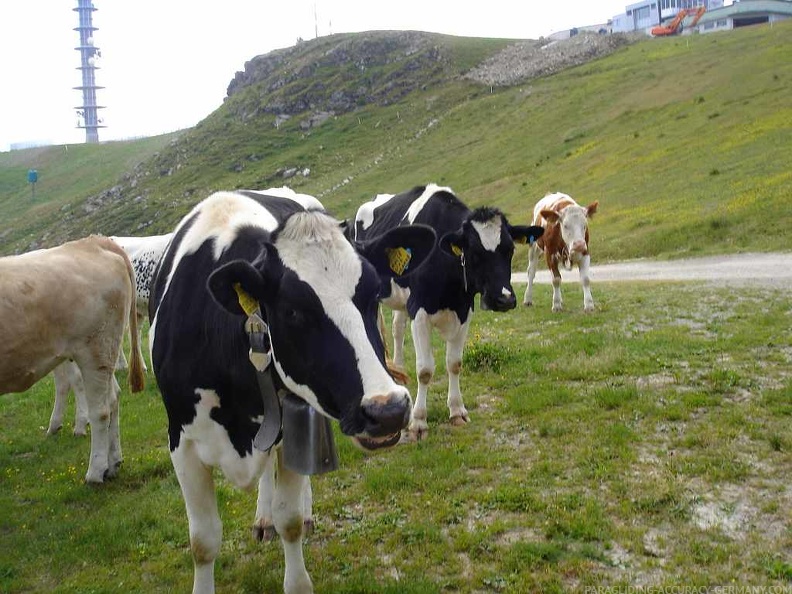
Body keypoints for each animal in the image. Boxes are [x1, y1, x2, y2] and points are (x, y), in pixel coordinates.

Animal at [0, 234, 145, 478]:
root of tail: (93, 242)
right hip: (101, 352)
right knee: (112, 398)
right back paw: (113, 463)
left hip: (95, 348)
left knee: (101, 410)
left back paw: (95, 471)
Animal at [148, 187, 434, 588]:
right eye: (293, 311)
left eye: (374, 293)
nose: (388, 410)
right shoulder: (182, 442)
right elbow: (203, 542)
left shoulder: (296, 422)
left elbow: (291, 520)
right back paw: (263, 517)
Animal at [356, 184, 540, 440]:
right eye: (474, 252)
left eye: (510, 249)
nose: (504, 299)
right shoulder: (419, 311)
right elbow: (425, 370)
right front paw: (418, 422)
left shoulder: (464, 311)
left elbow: (455, 363)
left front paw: (457, 411)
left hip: (402, 301)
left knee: (397, 329)